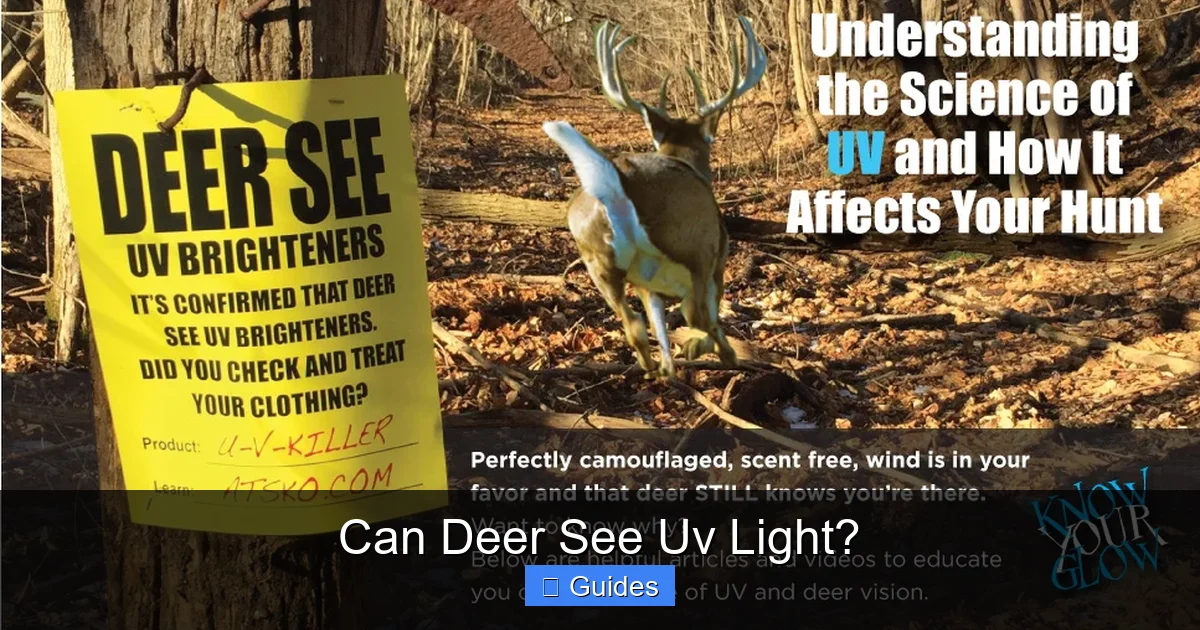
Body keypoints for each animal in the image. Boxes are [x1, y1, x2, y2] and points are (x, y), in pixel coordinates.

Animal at [542, 16, 766, 379]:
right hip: (694, 243)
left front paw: (674, 360)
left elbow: (661, 334)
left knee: (635, 327)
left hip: (597, 258)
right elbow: (705, 311)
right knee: (697, 314)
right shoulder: (717, 258)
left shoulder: (648, 287)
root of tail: (618, 182)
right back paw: (724, 354)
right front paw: (700, 349)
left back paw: (654, 367)